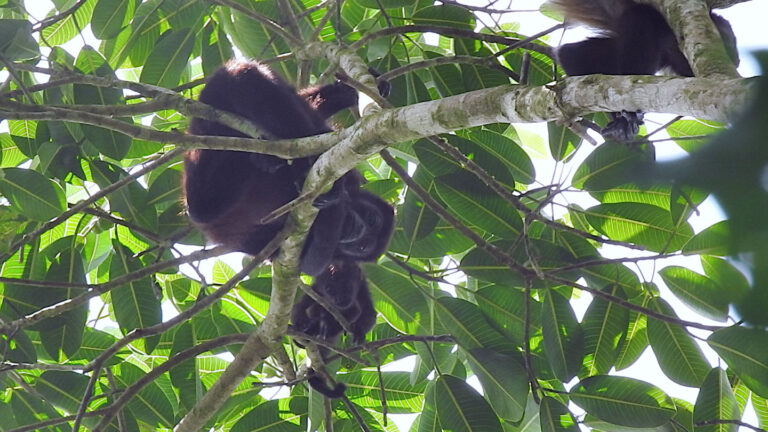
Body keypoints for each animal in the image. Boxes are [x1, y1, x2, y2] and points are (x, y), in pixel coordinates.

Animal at [184, 60, 392, 398]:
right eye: (370, 225)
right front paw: (352, 90)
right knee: (243, 76)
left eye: (362, 246)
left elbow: (313, 263)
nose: (356, 231)